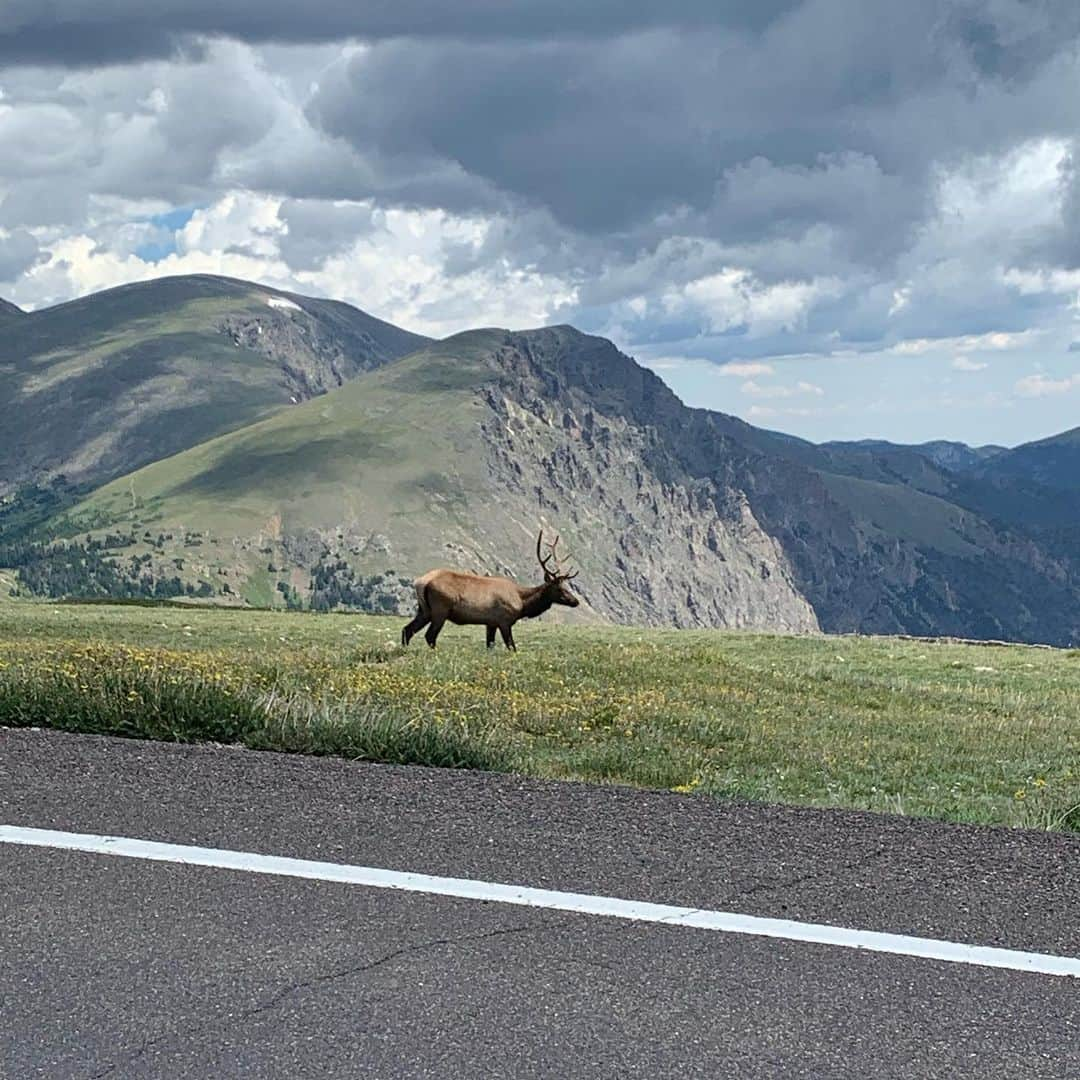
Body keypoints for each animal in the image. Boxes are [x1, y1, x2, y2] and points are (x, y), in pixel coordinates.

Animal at [401, 531, 578, 648]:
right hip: (440, 609)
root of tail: (421, 582)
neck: (522, 603)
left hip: (424, 610)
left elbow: (490, 645)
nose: (575, 601)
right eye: (560, 589)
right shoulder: (504, 621)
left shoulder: (490, 623)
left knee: (407, 629)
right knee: (429, 635)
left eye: (566, 587)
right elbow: (511, 646)